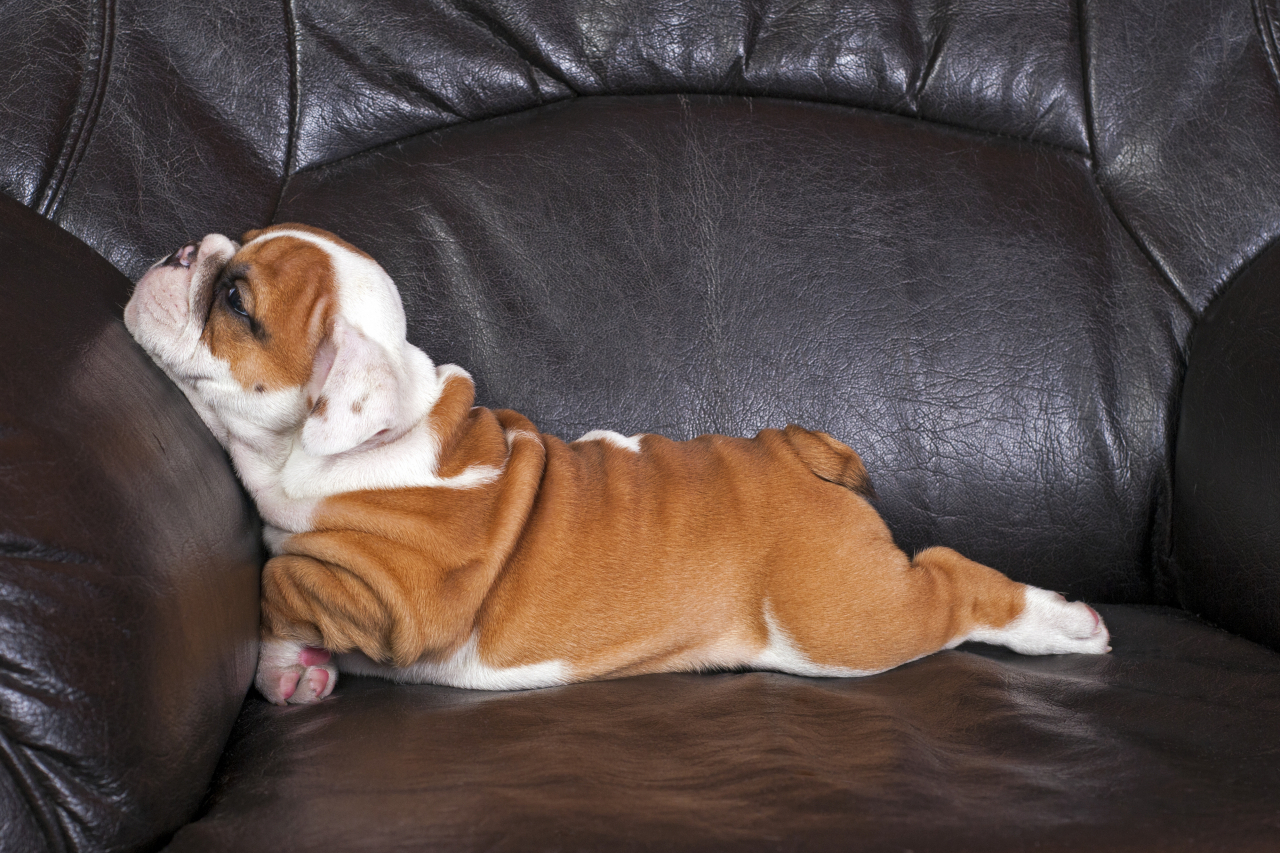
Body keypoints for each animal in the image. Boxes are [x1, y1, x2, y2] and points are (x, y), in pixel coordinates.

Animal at [127, 224, 1111, 701]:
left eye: (235, 301)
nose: (182, 250)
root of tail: (799, 453)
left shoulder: (389, 594)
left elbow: (277, 582)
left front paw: (284, 665)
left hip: (839, 618)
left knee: (949, 584)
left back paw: (1064, 622)